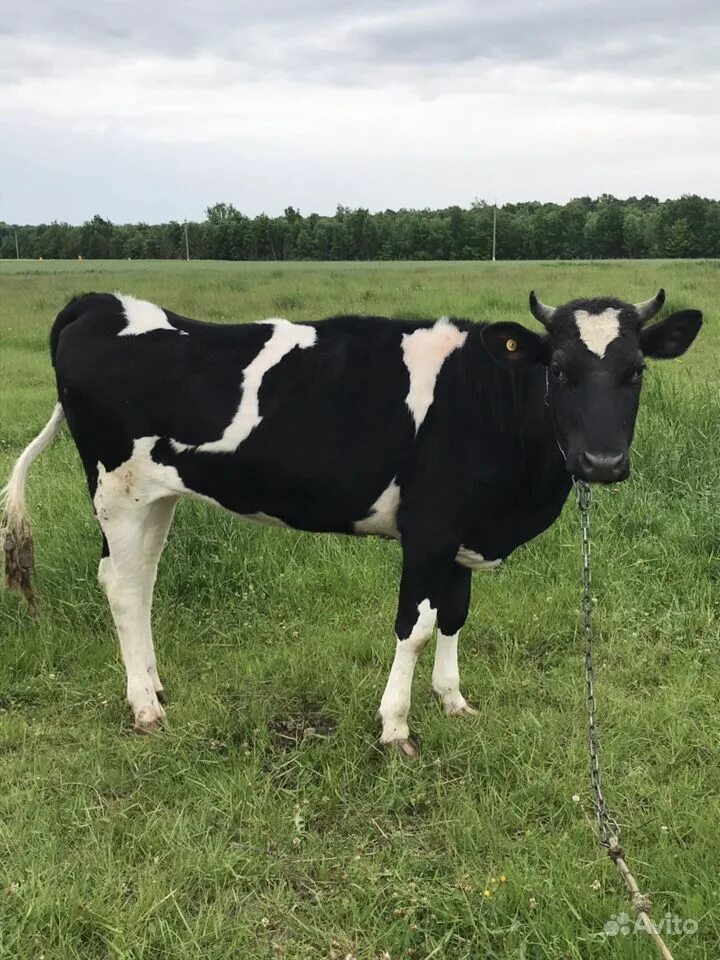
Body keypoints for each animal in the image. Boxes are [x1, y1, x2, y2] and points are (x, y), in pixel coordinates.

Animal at [0, 288, 696, 752]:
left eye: (636, 372)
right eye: (559, 369)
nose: (602, 462)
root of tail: (100, 301)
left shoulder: (461, 533)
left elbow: (455, 615)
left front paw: (453, 701)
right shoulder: (429, 530)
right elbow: (415, 626)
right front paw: (395, 727)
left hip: (156, 496)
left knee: (139, 583)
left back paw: (153, 685)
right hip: (116, 490)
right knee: (121, 586)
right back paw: (145, 707)